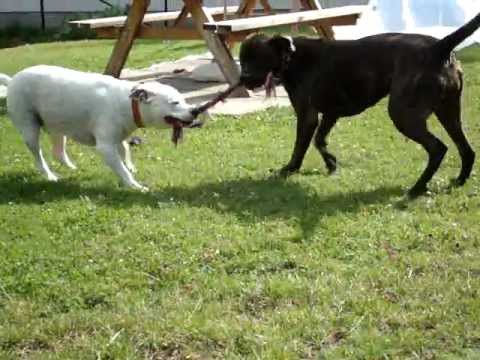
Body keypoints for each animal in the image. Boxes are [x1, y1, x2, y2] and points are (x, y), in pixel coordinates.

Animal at [0, 66, 201, 193]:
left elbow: (125, 150)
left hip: (58, 127)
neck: (128, 102)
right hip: (29, 129)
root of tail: (12, 79)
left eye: (184, 100)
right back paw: (49, 175)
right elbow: (121, 169)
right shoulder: (106, 146)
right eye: (174, 102)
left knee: (58, 151)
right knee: (38, 155)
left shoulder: (118, 138)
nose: (195, 110)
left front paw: (130, 166)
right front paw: (134, 185)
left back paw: (71, 168)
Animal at [237, 14, 480, 197]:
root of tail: (439, 47)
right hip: (449, 113)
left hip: (404, 115)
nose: (243, 78)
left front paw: (289, 169)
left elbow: (300, 147)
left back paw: (417, 188)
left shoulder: (307, 116)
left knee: (438, 148)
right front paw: (331, 163)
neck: (291, 56)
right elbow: (319, 141)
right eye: (243, 59)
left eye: (257, 58)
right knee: (466, 150)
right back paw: (458, 181)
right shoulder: (330, 114)